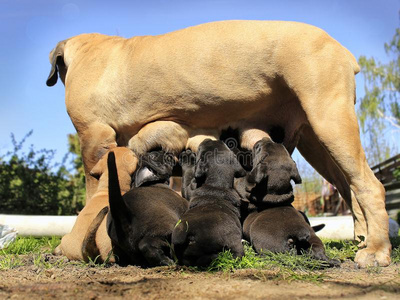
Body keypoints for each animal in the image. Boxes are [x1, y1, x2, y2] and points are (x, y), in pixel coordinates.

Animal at [46, 21, 390, 268]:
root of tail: (342, 50)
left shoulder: (94, 138)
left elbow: (93, 190)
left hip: (331, 121)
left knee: (369, 186)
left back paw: (375, 251)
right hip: (317, 140)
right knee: (350, 189)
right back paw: (362, 239)